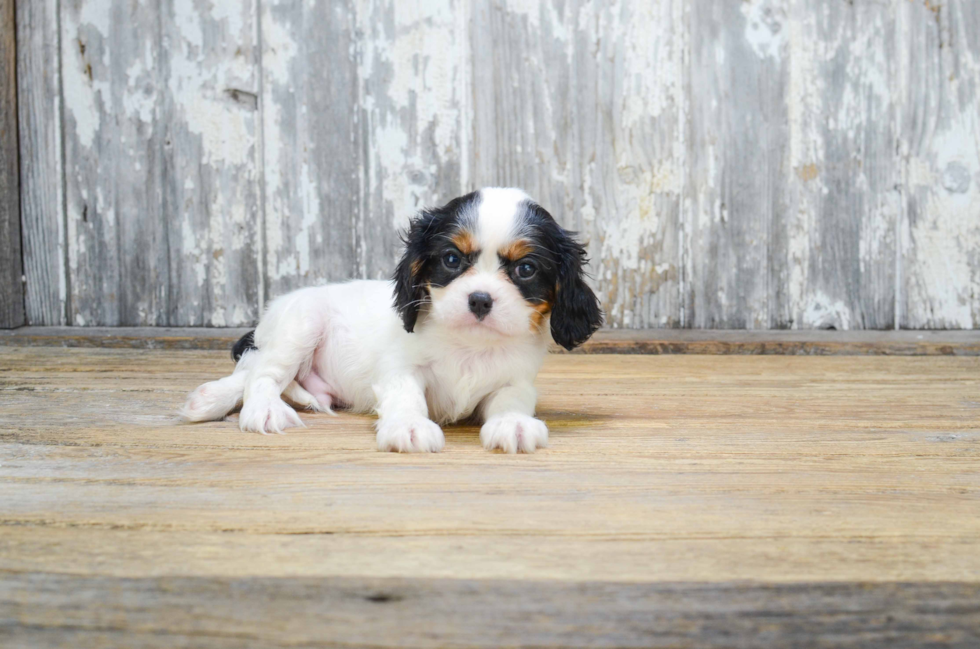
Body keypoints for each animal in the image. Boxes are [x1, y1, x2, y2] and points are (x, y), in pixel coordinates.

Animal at [179, 187, 600, 450]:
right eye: (451, 259)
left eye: (526, 269)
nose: (480, 300)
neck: (469, 344)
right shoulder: (400, 370)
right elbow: (406, 396)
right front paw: (409, 427)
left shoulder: (516, 380)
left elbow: (511, 400)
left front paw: (512, 423)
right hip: (301, 322)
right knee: (260, 372)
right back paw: (250, 407)